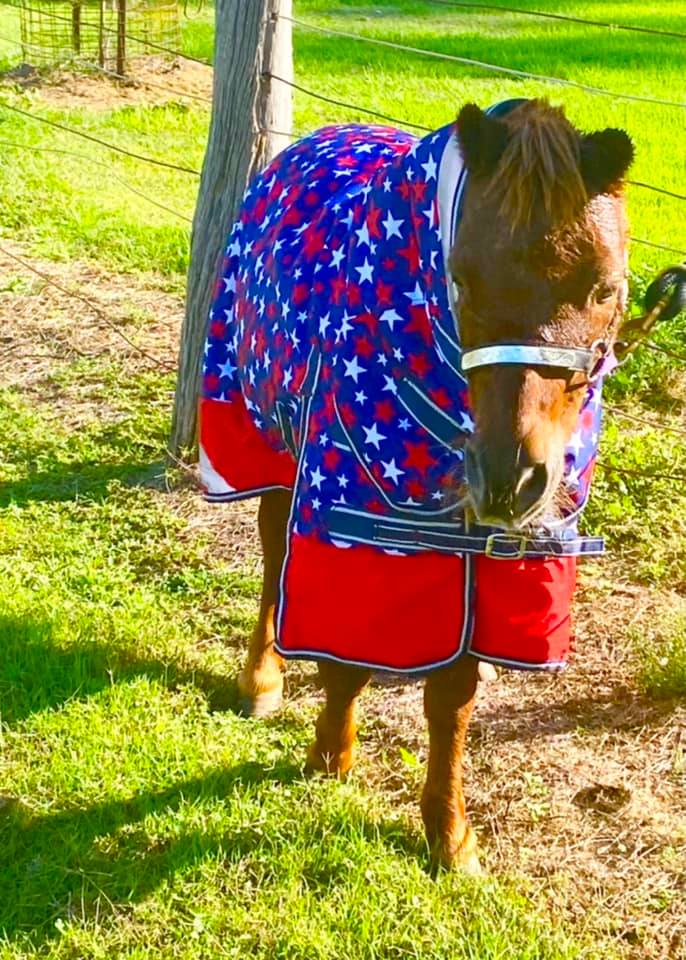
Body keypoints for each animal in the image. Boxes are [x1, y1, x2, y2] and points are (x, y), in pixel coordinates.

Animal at [199, 98, 636, 871]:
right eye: (463, 277)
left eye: (602, 286)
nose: (510, 477)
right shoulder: (351, 521)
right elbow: (347, 659)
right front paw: (332, 753)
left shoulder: (487, 555)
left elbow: (452, 692)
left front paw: (449, 831)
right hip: (267, 443)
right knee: (274, 559)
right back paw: (262, 678)